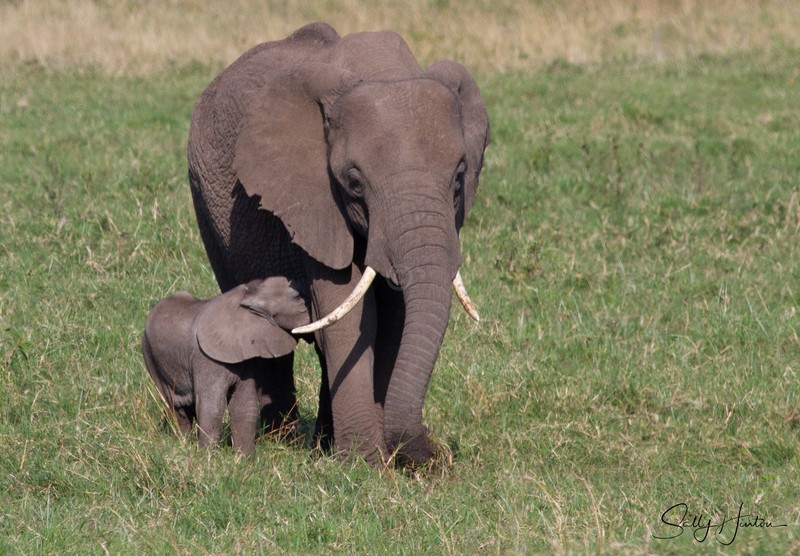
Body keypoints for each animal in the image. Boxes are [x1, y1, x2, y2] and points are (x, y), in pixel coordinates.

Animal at [141, 277, 310, 454]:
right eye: (297, 297)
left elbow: (244, 405)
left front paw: (243, 458)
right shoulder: (205, 359)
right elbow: (212, 406)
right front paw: (207, 457)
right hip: (149, 355)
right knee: (175, 406)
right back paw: (183, 444)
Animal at [187, 22, 489, 466]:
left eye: (458, 177)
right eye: (354, 183)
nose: (437, 456)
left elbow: (395, 318)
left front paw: (381, 459)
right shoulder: (314, 202)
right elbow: (349, 313)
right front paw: (365, 463)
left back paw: (320, 445)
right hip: (207, 205)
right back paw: (282, 440)